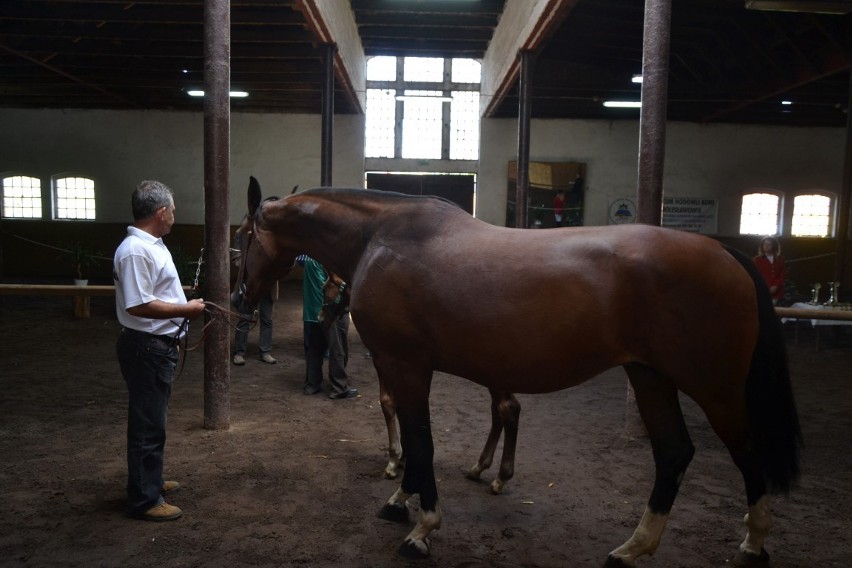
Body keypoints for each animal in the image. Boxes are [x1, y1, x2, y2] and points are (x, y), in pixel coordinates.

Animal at [320, 272, 520, 492]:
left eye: (325, 290)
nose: (320, 319)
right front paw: (404, 457)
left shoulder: (384, 360)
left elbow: (389, 403)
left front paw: (394, 461)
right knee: (499, 411)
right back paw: (479, 468)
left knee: (507, 408)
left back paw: (500, 477)